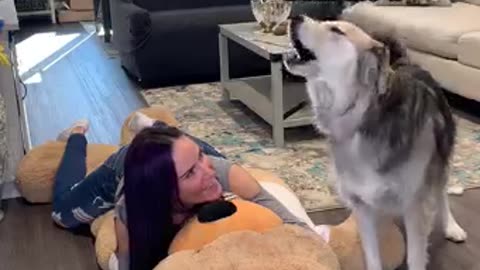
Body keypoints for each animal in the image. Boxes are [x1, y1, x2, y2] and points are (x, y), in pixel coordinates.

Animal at [284, 15, 466, 270]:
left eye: (336, 30)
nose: (294, 17)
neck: (362, 115)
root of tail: (405, 62)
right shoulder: (363, 206)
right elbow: (371, 255)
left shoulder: (415, 206)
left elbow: (415, 257)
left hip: (441, 158)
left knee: (442, 192)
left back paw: (452, 227)